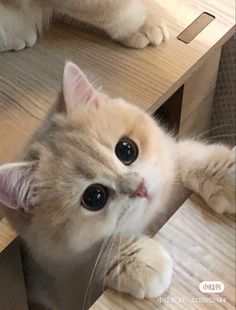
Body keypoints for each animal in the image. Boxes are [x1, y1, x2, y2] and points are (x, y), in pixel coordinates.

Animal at [0, 61, 234, 310]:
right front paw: (141, 260)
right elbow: (101, 252)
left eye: (126, 150)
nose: (139, 188)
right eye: (94, 197)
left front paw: (226, 175)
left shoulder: (170, 158)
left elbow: (185, 156)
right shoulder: (67, 275)